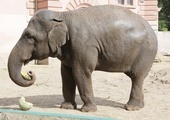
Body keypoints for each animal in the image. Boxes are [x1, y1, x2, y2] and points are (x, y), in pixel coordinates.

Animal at [7, 4, 157, 111]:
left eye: (29, 36)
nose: (29, 73)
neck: (62, 16)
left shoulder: (82, 44)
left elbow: (81, 72)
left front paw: (88, 110)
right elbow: (66, 73)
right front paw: (66, 107)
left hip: (146, 52)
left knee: (136, 76)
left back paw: (131, 108)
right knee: (137, 78)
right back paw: (140, 106)